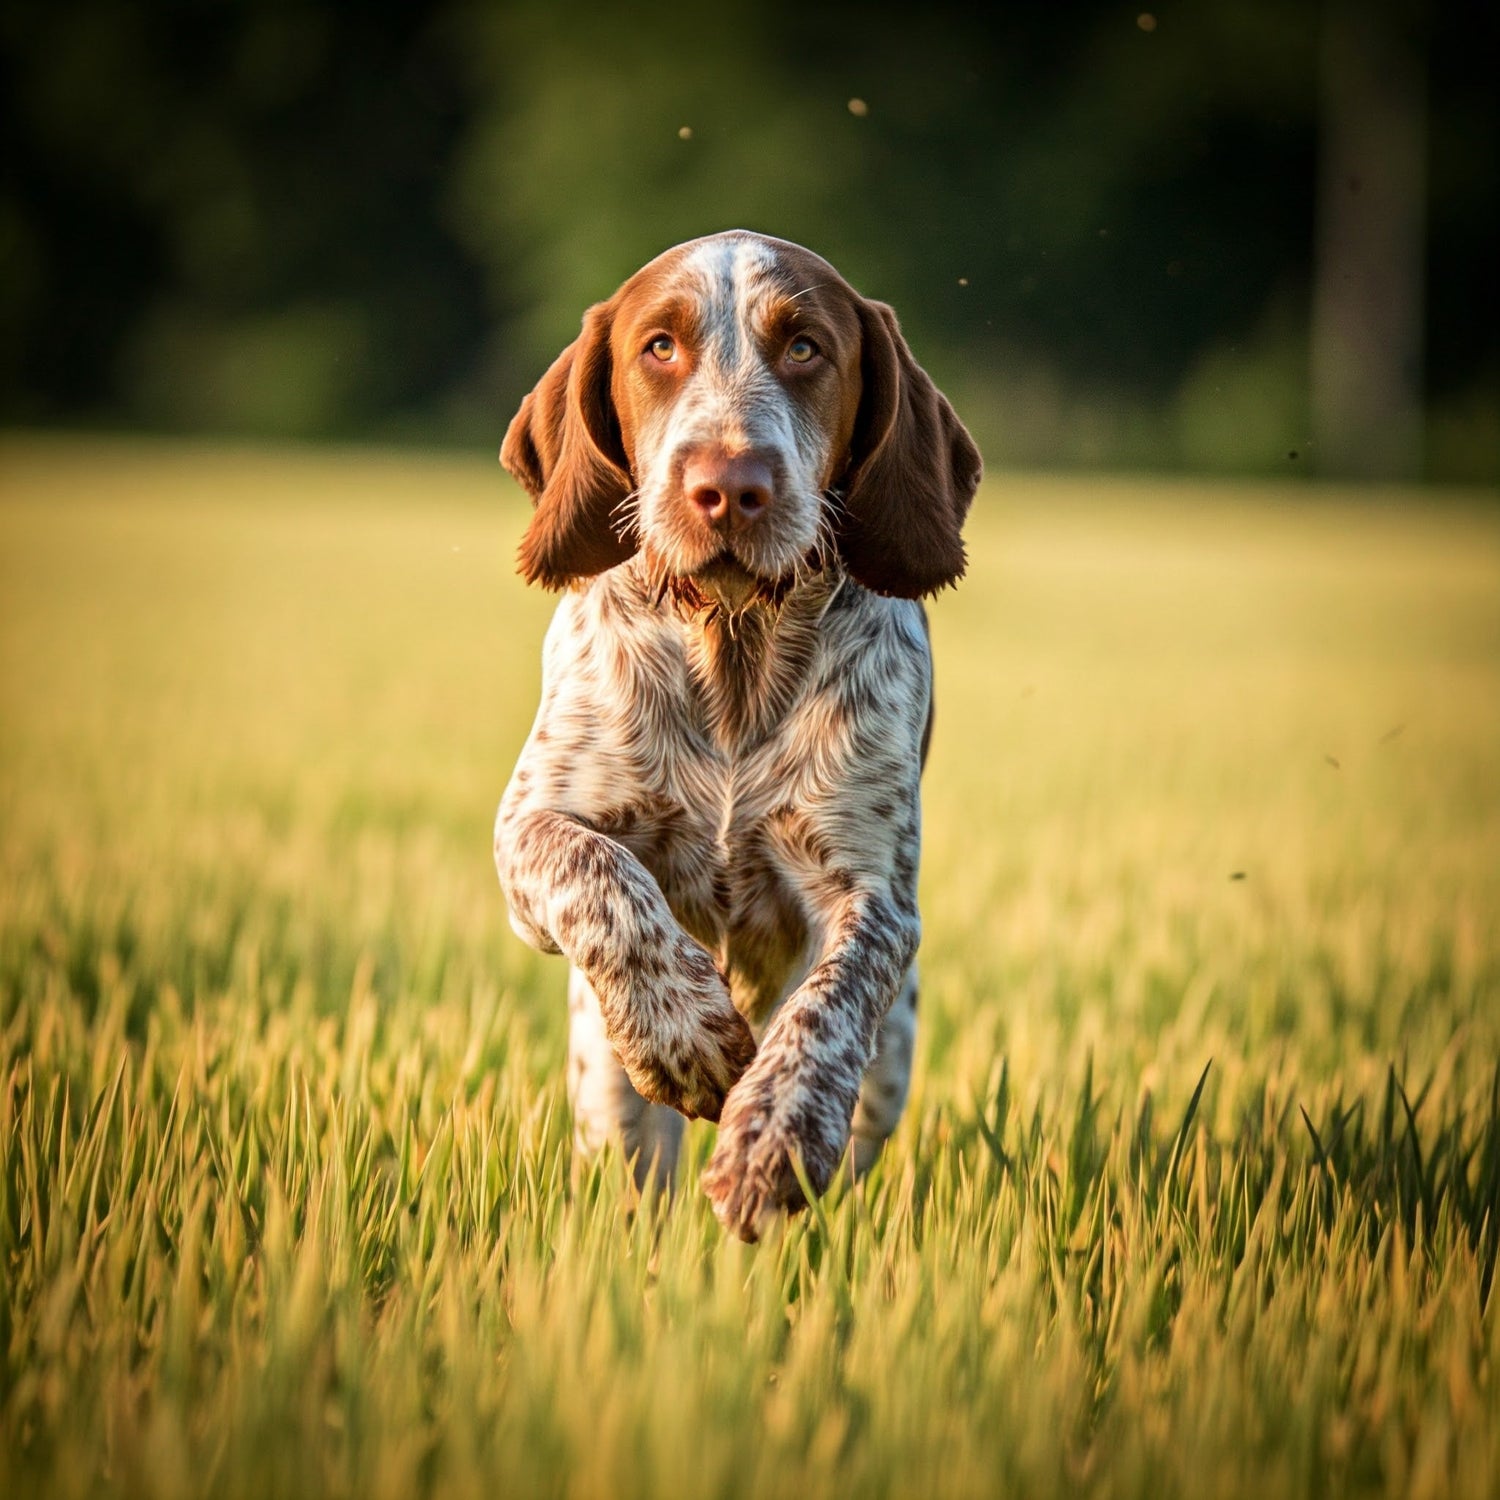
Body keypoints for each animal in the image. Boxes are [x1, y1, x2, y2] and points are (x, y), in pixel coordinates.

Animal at [495, 228, 984, 1236]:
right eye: (659, 347)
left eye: (805, 347)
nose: (729, 487)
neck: (733, 641)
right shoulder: (527, 831)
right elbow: (594, 871)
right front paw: (685, 1033)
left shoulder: (874, 898)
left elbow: (827, 1008)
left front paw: (774, 1137)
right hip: (603, 1086)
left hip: (894, 1062)